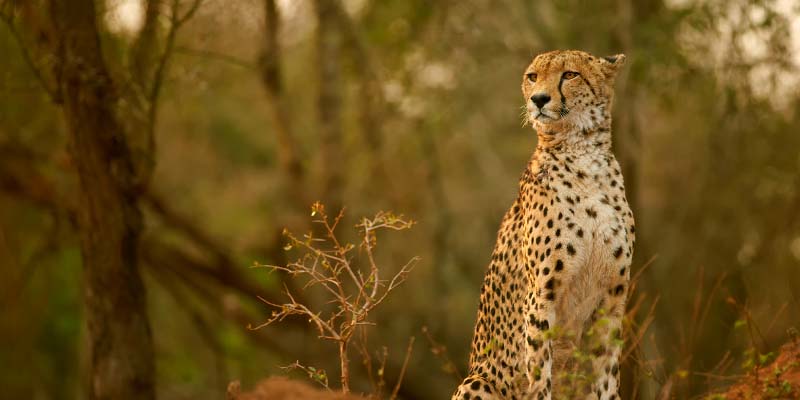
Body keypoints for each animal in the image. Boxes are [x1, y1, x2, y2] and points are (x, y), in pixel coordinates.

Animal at [451, 50, 635, 400]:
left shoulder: (612, 298)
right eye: (533, 77)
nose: (538, 99)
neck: (583, 155)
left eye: (570, 75)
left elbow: (607, 376)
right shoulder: (541, 296)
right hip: (476, 381)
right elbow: (539, 376)